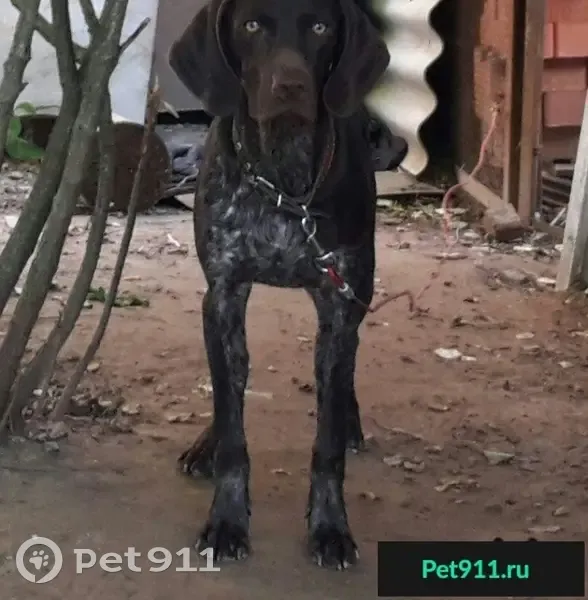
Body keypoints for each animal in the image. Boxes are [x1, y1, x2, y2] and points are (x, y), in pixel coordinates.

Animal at [169, 0, 406, 570]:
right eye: (251, 25)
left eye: (320, 27)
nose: (290, 85)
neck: (281, 184)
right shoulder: (223, 297)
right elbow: (232, 426)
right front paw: (226, 521)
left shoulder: (339, 305)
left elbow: (328, 445)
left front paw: (330, 528)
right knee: (228, 389)